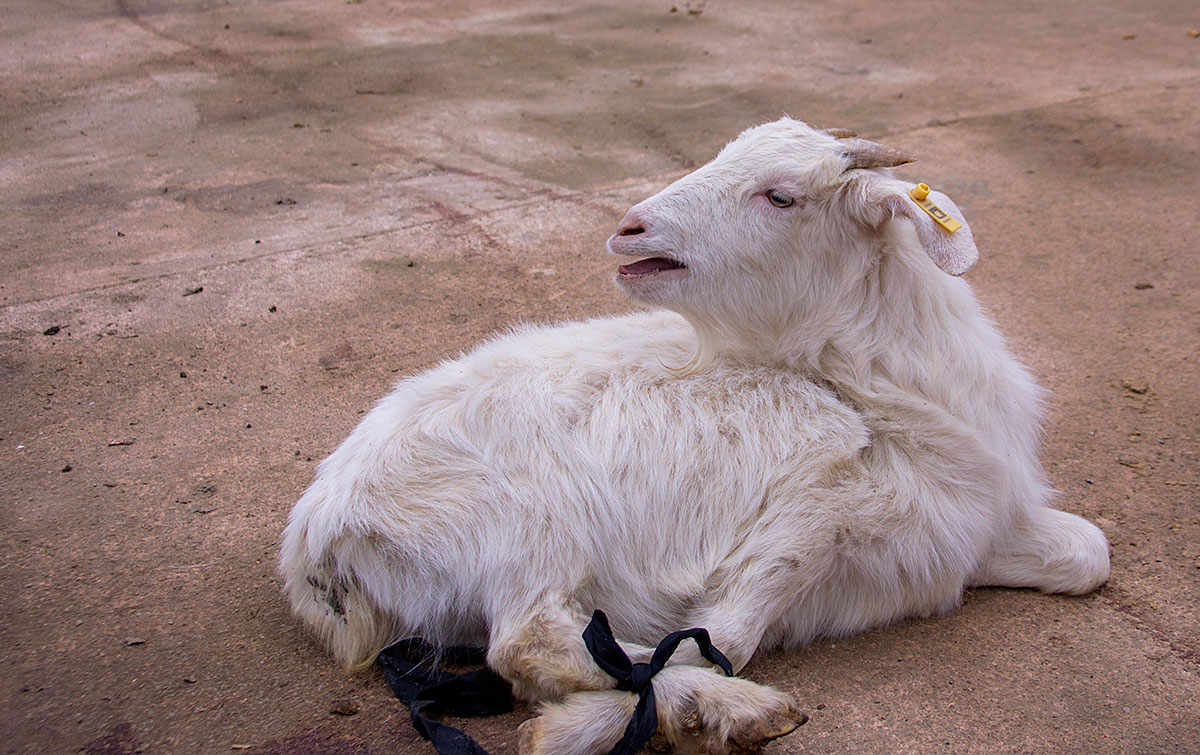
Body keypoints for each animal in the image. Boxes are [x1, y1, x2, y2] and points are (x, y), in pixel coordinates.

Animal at [278, 117, 1104, 753]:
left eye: (780, 194)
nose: (629, 228)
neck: (883, 399)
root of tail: (317, 531)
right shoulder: (803, 507)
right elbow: (724, 637)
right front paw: (604, 719)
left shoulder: (960, 528)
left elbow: (1089, 554)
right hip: (525, 523)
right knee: (528, 639)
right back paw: (712, 701)